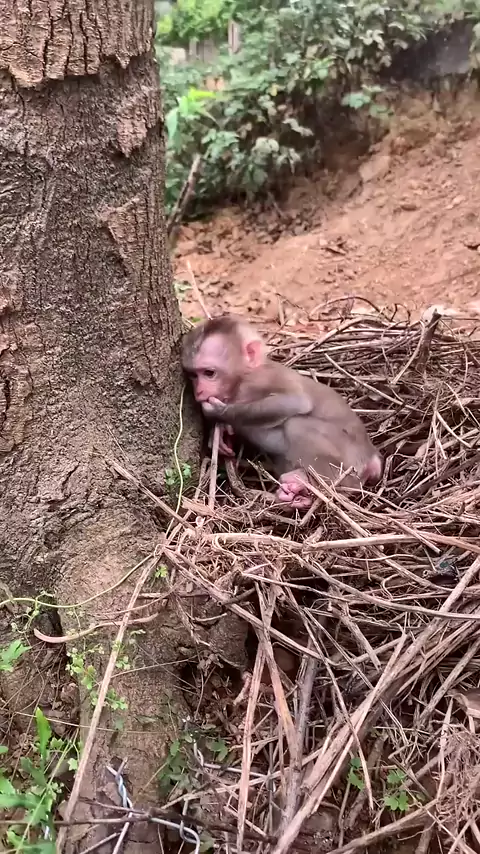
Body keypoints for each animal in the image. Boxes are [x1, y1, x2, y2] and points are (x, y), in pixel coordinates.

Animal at [181, 315, 382, 509]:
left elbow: (296, 401)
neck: (240, 382)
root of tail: (371, 455)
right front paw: (221, 432)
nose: (199, 391)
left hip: (348, 458)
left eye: (209, 373)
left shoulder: (261, 379)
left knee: (298, 425)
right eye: (193, 375)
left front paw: (219, 412)